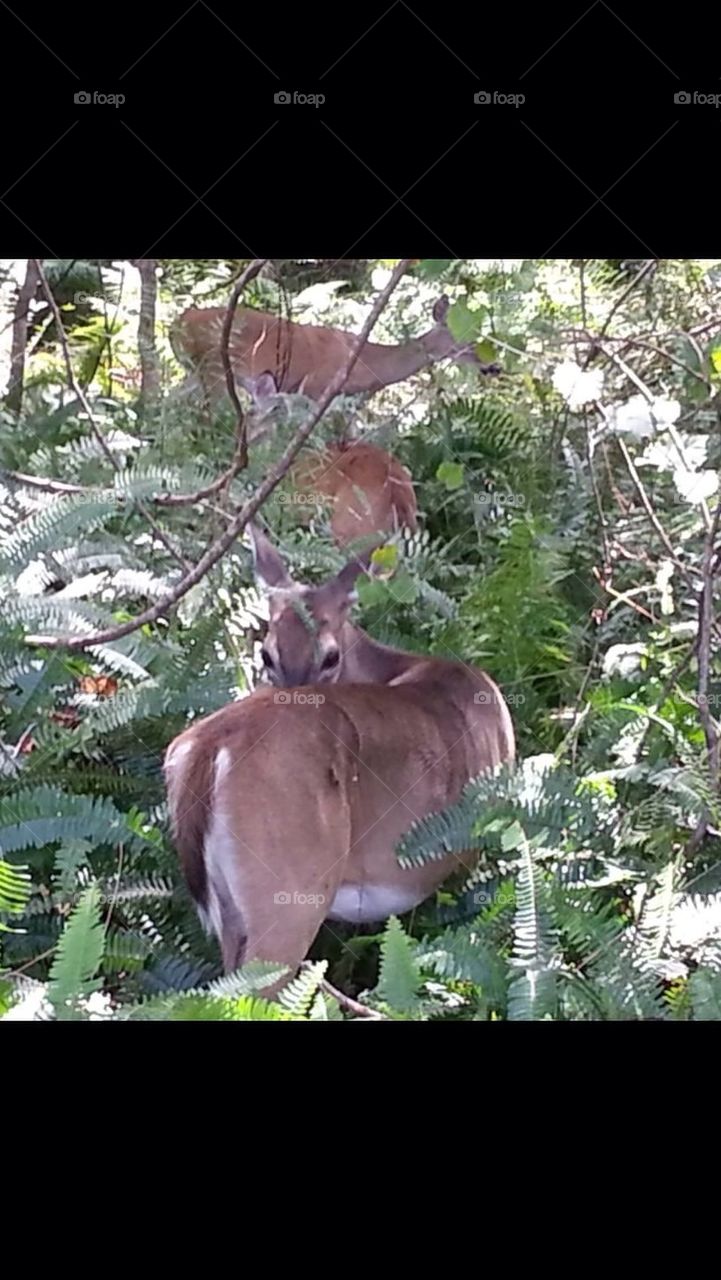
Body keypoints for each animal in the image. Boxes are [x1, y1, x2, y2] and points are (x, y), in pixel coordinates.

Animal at [169, 294, 500, 409]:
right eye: (466, 338)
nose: (495, 366)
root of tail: (178, 322)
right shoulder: (315, 388)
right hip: (213, 366)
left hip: (194, 371)